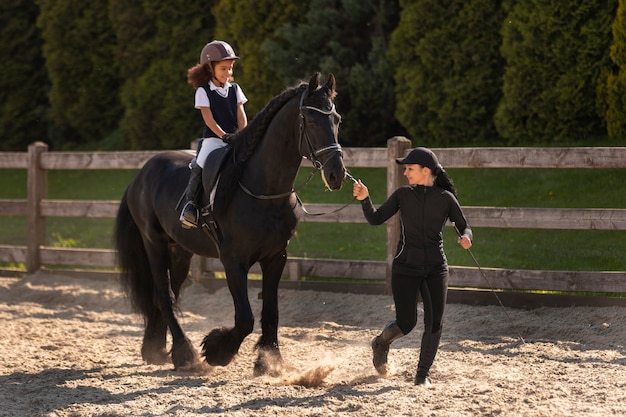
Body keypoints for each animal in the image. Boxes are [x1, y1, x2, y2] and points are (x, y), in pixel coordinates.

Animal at [114, 72, 344, 374]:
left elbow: (271, 312)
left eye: (337, 120)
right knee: (164, 296)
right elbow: (245, 317)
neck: (264, 190)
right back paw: (183, 353)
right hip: (154, 244)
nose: (337, 174)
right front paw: (216, 350)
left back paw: (156, 349)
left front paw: (270, 361)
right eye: (313, 120)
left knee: (166, 293)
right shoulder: (233, 260)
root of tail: (140, 175)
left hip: (180, 251)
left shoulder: (276, 257)